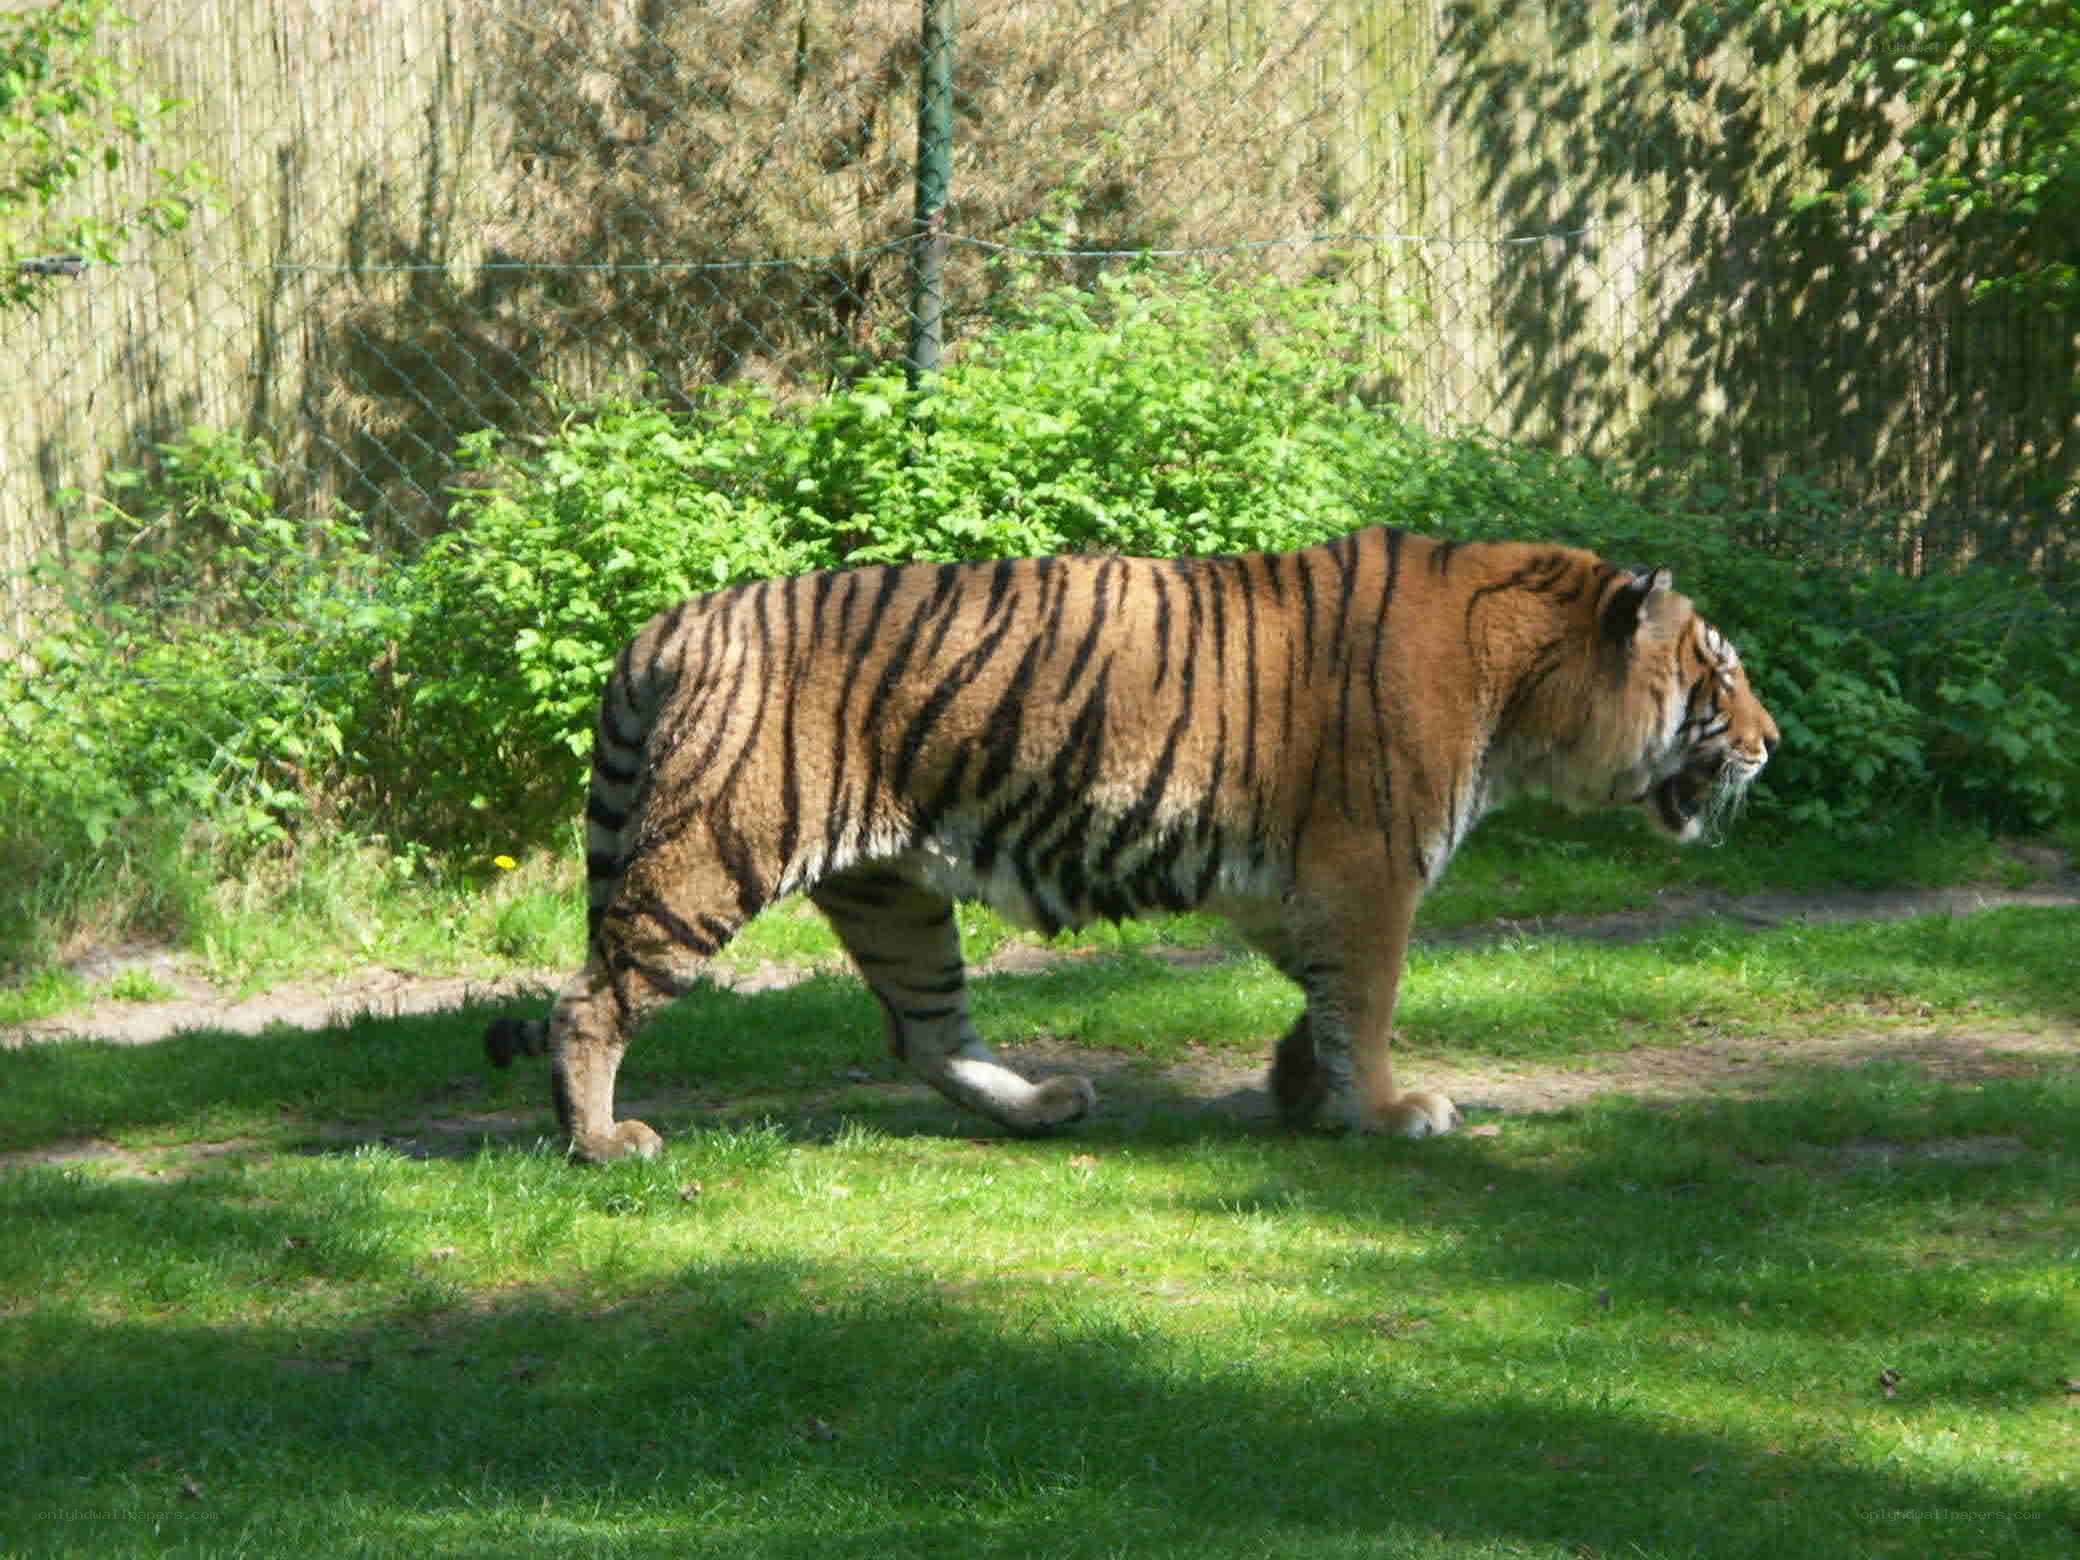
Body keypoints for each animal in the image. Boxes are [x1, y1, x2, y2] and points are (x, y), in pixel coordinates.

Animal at [483, 526, 1778, 1162]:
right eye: (1718, 677)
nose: (1770, 744)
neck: (1530, 694)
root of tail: (666, 624)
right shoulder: (1369, 869)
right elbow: (1366, 1000)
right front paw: (1386, 1112)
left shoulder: (1292, 885)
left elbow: (1324, 998)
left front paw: (1301, 1087)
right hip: (710, 855)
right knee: (590, 1000)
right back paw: (601, 1142)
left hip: (891, 892)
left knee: (925, 1033)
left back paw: (1040, 1107)